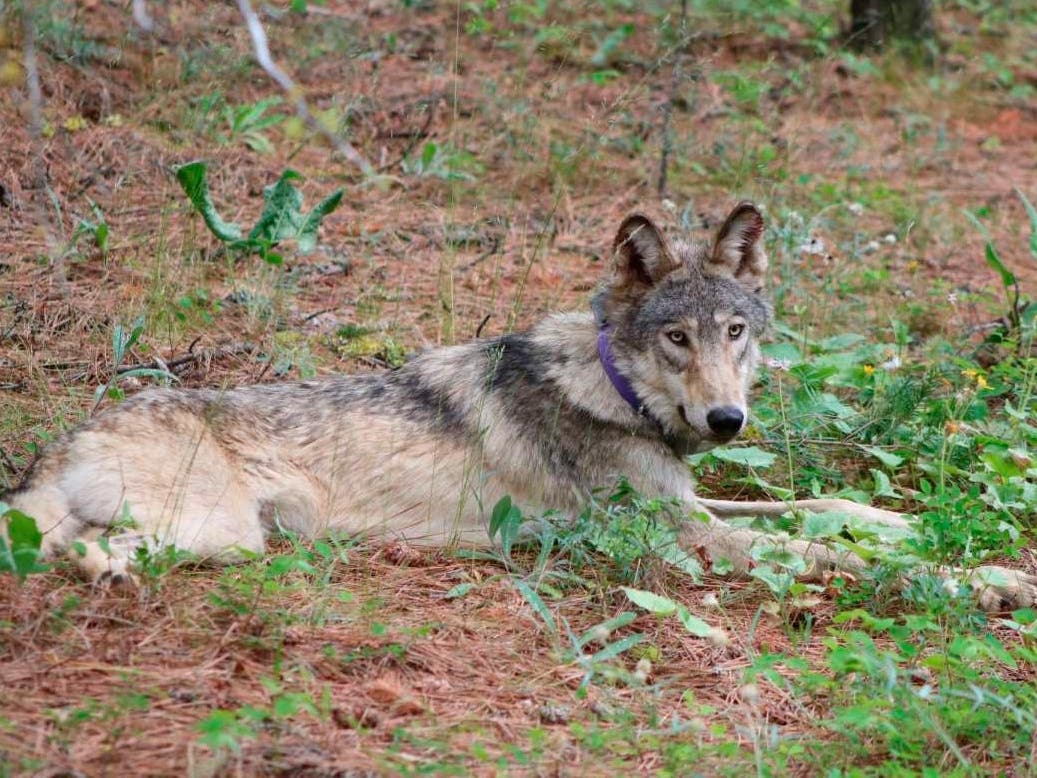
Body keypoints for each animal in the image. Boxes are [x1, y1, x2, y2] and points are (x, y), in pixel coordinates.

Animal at [6, 203, 1035, 610]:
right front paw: (986, 580)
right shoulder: (684, 538)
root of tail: (62, 442)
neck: (612, 390)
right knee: (68, 551)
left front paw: (910, 527)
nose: (726, 423)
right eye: (677, 338)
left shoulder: (691, 504)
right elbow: (826, 553)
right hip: (221, 533)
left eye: (735, 332)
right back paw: (104, 575)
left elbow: (827, 506)